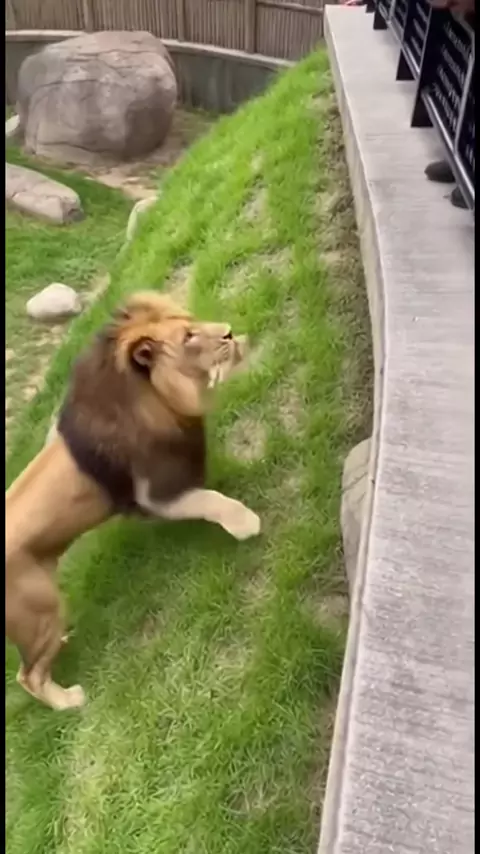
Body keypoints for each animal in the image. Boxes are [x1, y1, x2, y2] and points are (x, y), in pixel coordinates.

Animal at [6, 292, 260, 712]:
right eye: (188, 337)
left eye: (193, 323)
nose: (228, 332)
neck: (158, 398)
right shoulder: (154, 495)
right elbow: (211, 500)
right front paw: (245, 524)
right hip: (41, 610)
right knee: (28, 676)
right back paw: (69, 701)